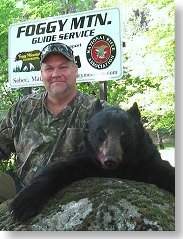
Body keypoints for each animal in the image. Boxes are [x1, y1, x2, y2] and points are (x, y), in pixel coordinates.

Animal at [9, 100, 174, 220]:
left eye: (124, 136)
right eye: (101, 134)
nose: (110, 160)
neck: (116, 170)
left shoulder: (143, 160)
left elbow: (163, 169)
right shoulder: (87, 161)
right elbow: (56, 169)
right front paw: (22, 204)